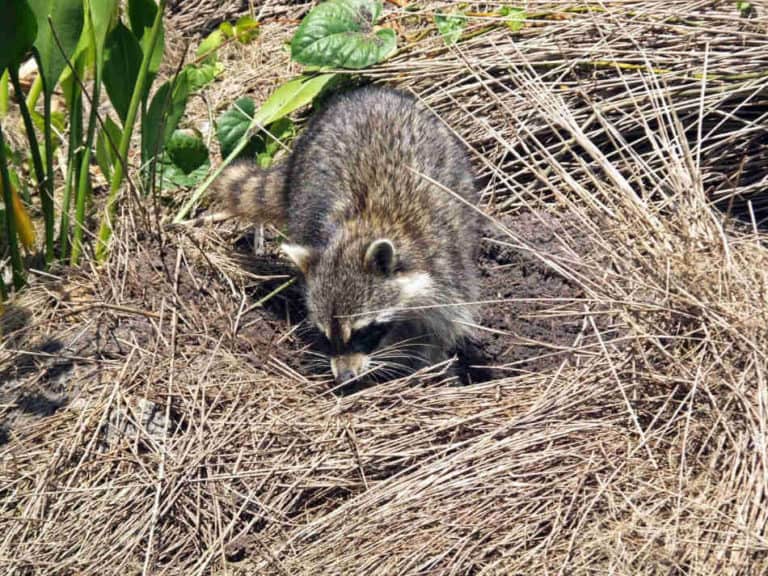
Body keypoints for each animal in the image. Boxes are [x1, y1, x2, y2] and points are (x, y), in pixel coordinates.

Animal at [215, 86, 481, 384]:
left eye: (362, 332)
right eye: (326, 335)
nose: (344, 377)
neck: (369, 223)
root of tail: (363, 93)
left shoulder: (446, 262)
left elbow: (443, 324)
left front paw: (427, 363)